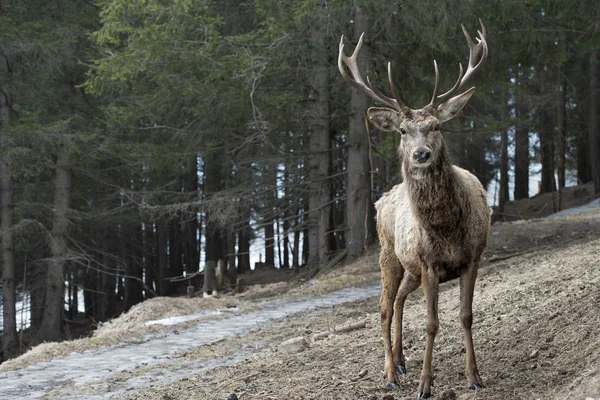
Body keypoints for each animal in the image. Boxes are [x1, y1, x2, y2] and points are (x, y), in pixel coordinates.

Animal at [340, 20, 490, 398]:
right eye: (403, 131)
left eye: (436, 126)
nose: (421, 154)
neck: (446, 230)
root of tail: (382, 200)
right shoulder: (430, 264)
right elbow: (432, 323)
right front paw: (425, 384)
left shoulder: (473, 257)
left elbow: (466, 316)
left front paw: (474, 376)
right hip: (388, 256)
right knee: (382, 308)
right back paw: (390, 373)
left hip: (411, 269)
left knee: (397, 302)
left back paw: (401, 360)